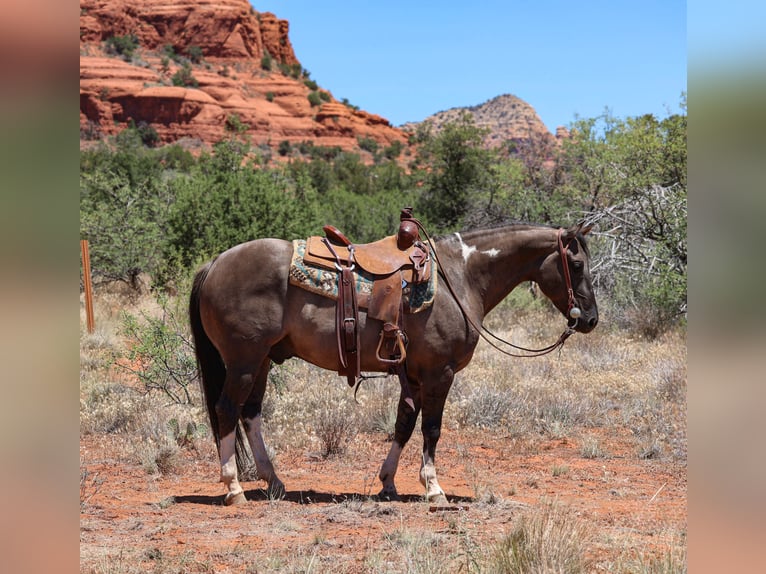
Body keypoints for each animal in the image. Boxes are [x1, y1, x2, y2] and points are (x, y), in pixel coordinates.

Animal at [189, 222, 598, 505]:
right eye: (577, 264)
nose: (591, 319)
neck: (461, 277)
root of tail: (215, 263)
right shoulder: (439, 373)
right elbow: (431, 429)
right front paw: (434, 488)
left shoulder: (413, 376)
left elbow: (404, 425)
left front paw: (388, 482)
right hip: (243, 360)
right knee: (227, 410)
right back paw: (234, 487)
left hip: (262, 361)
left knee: (250, 414)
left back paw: (273, 481)